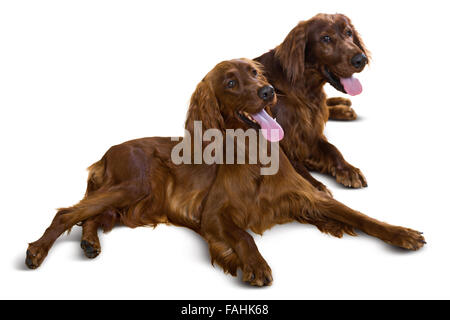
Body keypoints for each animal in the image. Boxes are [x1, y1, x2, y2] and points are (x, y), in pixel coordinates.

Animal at [25, 58, 426, 286]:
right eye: (231, 83)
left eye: (255, 73)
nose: (267, 91)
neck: (257, 154)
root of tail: (107, 152)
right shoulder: (214, 214)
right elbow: (244, 236)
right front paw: (255, 265)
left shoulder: (308, 197)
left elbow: (359, 215)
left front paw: (403, 233)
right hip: (136, 185)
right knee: (68, 213)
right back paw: (37, 251)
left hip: (133, 202)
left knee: (89, 215)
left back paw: (90, 242)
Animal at [256, 13, 370, 194]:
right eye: (326, 38)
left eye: (349, 32)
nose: (361, 59)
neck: (305, 89)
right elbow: (293, 166)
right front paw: (314, 186)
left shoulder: (310, 133)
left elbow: (332, 149)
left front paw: (348, 169)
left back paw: (343, 108)